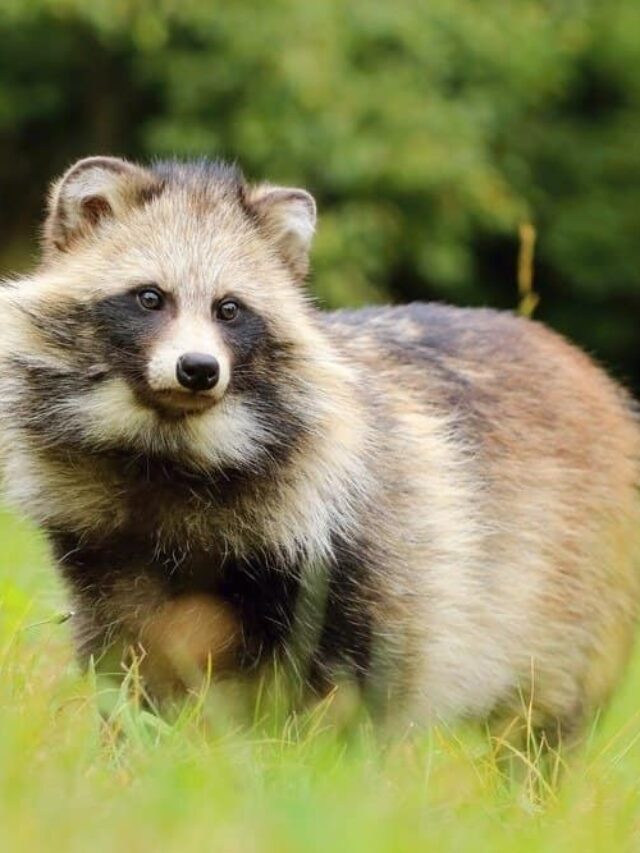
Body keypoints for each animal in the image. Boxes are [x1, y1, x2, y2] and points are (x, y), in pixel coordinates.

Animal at [0, 156, 639, 742]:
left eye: (229, 309)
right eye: (149, 297)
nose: (198, 370)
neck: (171, 451)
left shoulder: (361, 542)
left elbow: (359, 681)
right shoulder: (107, 547)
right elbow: (127, 658)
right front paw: (128, 745)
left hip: (577, 587)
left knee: (544, 717)